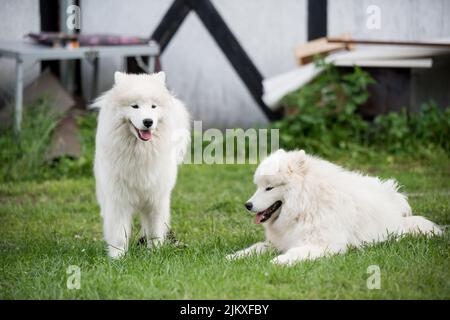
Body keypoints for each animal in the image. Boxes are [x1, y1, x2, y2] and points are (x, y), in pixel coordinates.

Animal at [93, 72, 190, 258]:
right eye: (135, 106)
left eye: (153, 106)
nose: (148, 122)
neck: (140, 153)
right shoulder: (118, 199)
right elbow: (119, 233)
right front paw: (117, 257)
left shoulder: (156, 199)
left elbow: (155, 230)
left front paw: (155, 252)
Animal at [227, 150, 442, 264]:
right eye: (258, 186)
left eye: (269, 187)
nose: (247, 205)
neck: (304, 206)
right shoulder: (276, 243)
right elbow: (254, 248)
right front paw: (233, 257)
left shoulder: (325, 245)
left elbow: (296, 253)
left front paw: (278, 262)